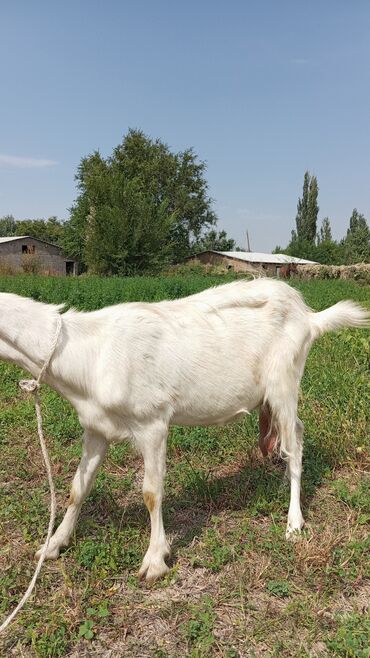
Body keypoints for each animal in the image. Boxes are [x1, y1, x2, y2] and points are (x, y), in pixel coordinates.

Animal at [0, 276, 368, 580]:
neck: (92, 355)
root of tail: (309, 316)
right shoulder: (96, 428)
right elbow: (78, 486)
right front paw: (53, 545)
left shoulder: (152, 424)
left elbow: (151, 492)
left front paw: (155, 560)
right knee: (290, 439)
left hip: (284, 383)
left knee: (296, 442)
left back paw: (293, 523)